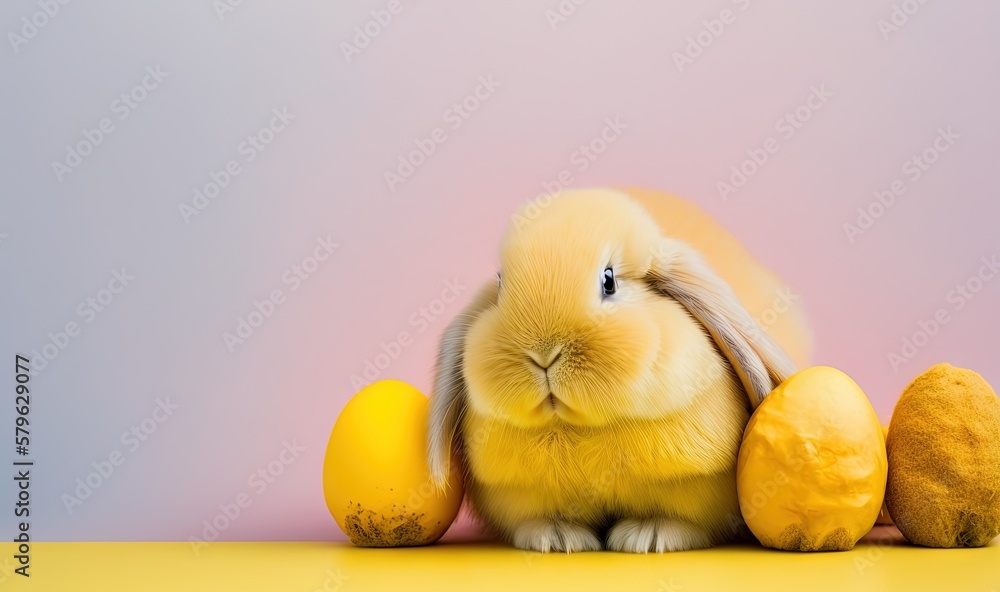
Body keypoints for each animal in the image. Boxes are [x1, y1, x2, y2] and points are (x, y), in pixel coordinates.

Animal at [430, 190, 812, 556]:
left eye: (609, 281)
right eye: (500, 284)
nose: (543, 354)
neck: (582, 427)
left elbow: (682, 519)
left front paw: (646, 536)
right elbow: (539, 517)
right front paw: (558, 538)